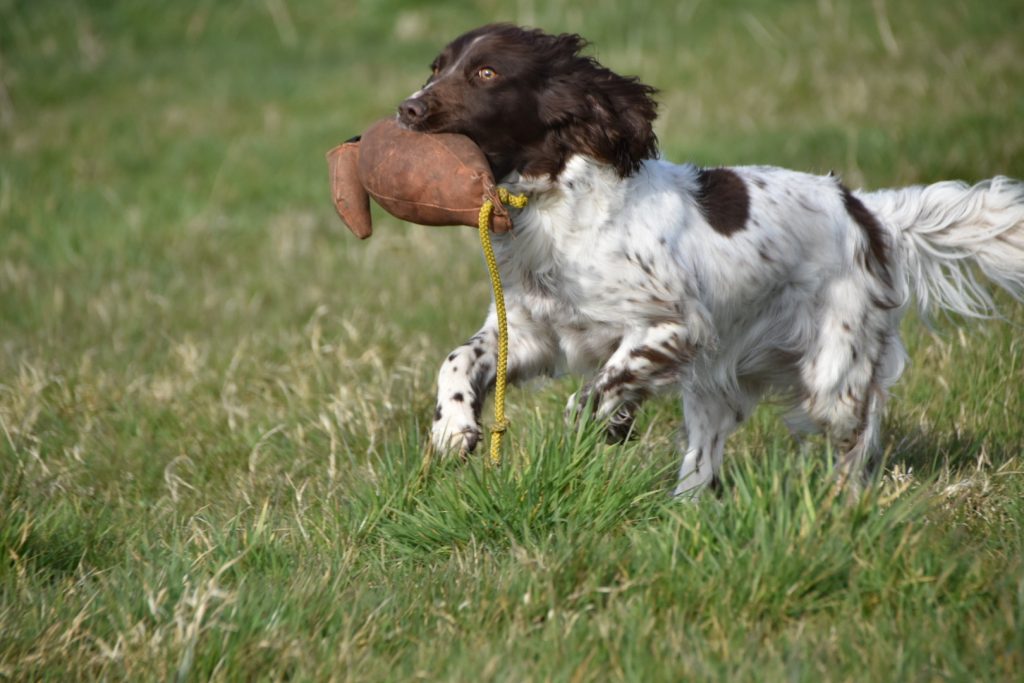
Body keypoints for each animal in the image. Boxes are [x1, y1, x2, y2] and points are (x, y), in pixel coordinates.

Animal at [395, 25, 1024, 497]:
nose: (408, 108)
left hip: (832, 373)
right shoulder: (532, 334)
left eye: (487, 73)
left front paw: (598, 421)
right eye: (436, 66)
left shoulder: (675, 325)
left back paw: (844, 505)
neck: (556, 207)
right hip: (714, 386)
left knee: (856, 438)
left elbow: (599, 386)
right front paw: (453, 428)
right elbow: (457, 359)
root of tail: (865, 210)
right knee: (702, 463)